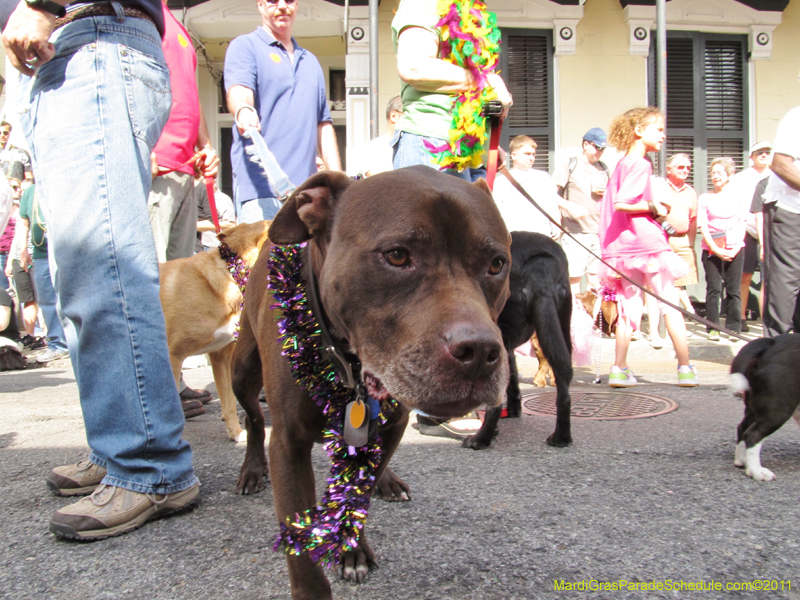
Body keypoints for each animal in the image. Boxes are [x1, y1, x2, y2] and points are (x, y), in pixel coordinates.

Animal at [228, 165, 510, 600]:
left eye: (496, 264)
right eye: (397, 255)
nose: (480, 351)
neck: (350, 368)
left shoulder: (393, 424)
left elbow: (360, 489)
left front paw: (352, 547)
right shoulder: (288, 445)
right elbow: (301, 549)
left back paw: (387, 481)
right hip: (242, 369)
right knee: (255, 421)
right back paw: (252, 470)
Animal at [732, 332, 800, 482]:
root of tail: (772, 343)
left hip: (754, 408)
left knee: (742, 428)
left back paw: (743, 461)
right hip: (777, 410)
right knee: (752, 434)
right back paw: (757, 471)